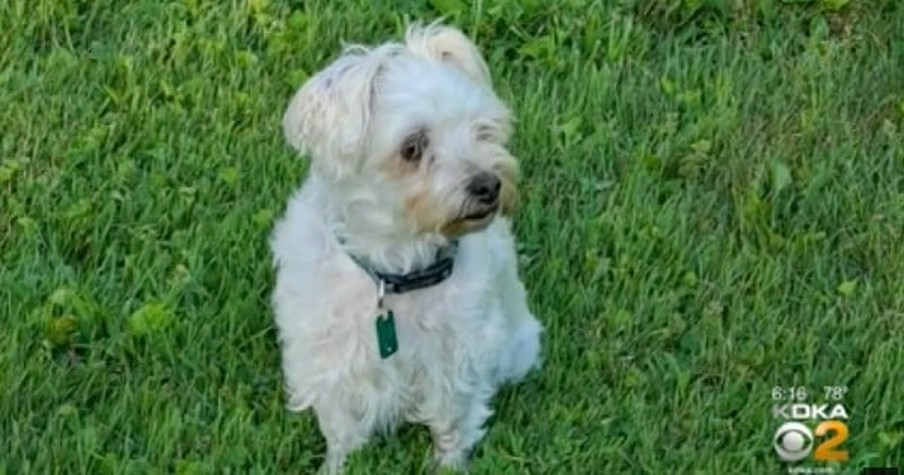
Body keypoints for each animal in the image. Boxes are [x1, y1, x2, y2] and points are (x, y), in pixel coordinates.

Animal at [270, 21, 544, 472]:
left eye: (482, 131)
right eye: (412, 147)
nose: (488, 185)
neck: (396, 268)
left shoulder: (458, 357)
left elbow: (452, 424)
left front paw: (448, 466)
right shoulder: (330, 357)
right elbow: (341, 429)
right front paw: (337, 465)